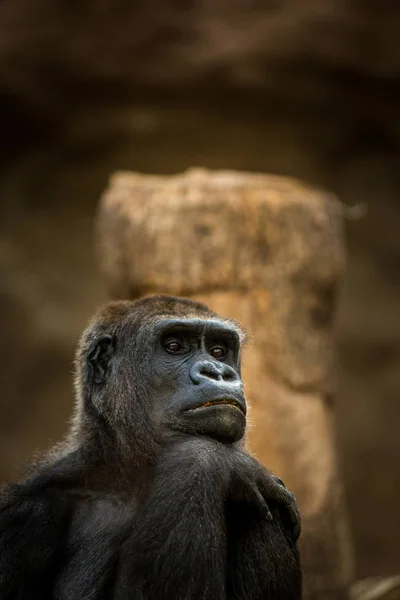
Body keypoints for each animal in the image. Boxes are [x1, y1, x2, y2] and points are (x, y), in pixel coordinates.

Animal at [0, 296, 300, 600]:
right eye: (174, 346)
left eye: (219, 351)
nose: (218, 372)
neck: (123, 471)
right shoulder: (24, 512)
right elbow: (201, 457)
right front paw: (217, 459)